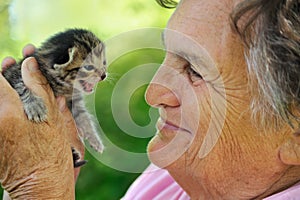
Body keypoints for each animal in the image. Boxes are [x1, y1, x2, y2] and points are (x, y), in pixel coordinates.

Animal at [2, 28, 106, 167]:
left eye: (104, 62)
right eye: (88, 67)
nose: (104, 75)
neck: (63, 86)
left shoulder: (73, 100)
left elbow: (83, 116)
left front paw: (94, 138)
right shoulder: (15, 73)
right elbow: (20, 84)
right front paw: (35, 105)